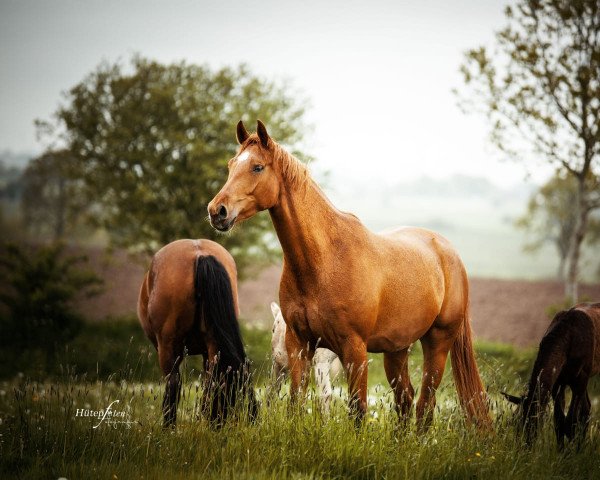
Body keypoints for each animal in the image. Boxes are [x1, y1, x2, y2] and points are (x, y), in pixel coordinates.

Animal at [138, 240, 258, 428]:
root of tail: (199, 254)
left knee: (173, 383)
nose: (226, 423)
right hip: (212, 346)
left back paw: (169, 427)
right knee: (210, 381)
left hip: (168, 346)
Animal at [209, 122, 490, 430]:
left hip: (437, 343)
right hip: (397, 350)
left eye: (257, 167)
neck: (325, 260)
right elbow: (296, 404)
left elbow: (358, 410)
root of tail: (448, 251)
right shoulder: (299, 344)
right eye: (231, 164)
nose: (217, 211)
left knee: (424, 406)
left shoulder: (354, 349)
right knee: (405, 399)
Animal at [502, 302, 600, 448]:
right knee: (586, 407)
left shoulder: (582, 376)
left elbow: (571, 421)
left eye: (534, 420)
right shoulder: (558, 382)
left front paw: (571, 451)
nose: (525, 446)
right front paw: (562, 451)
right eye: (516, 422)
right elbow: (559, 420)